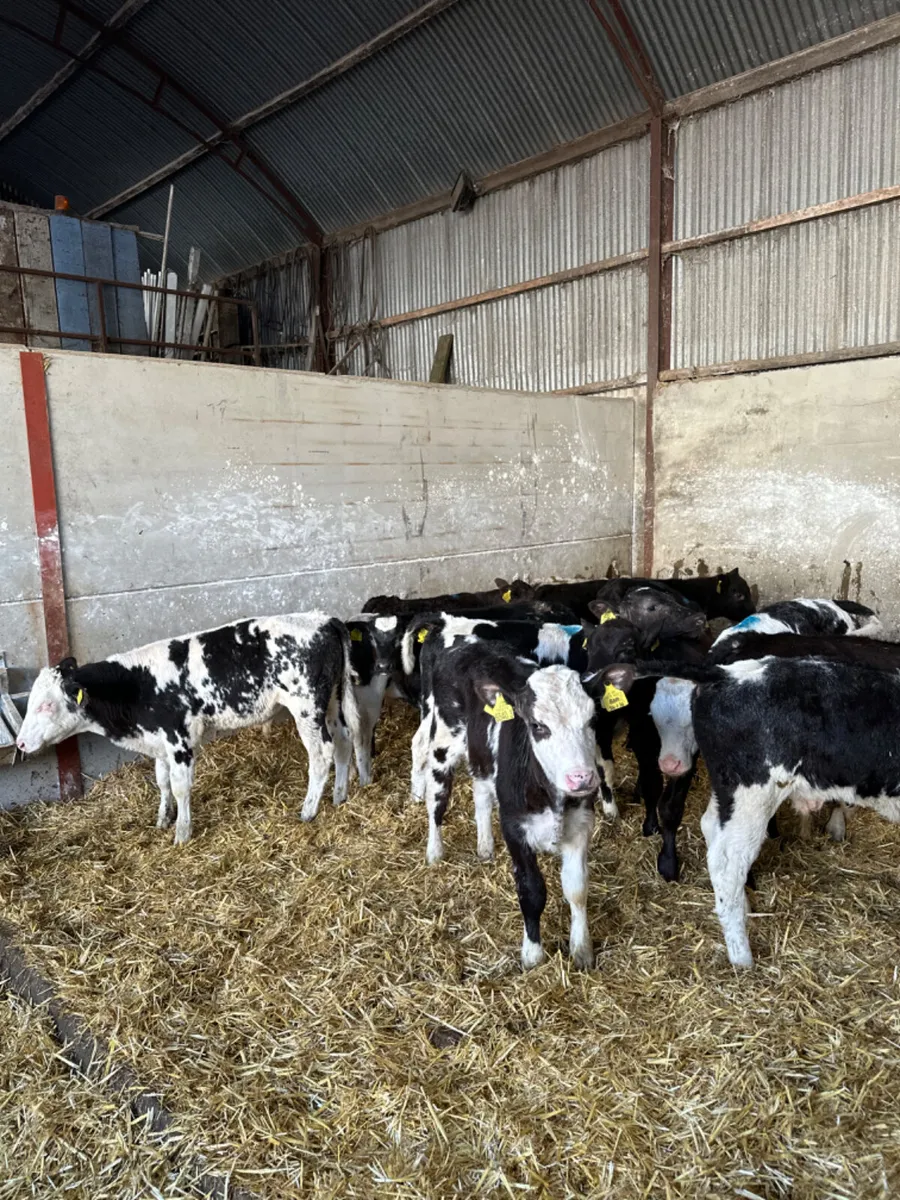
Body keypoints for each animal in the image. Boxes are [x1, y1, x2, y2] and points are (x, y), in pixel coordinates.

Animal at [15, 614, 362, 843]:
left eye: (46, 705)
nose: (19, 744)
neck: (137, 685)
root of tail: (321, 619)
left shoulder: (179, 741)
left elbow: (180, 786)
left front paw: (182, 832)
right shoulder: (159, 744)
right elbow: (162, 781)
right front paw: (162, 819)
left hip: (306, 708)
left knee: (322, 753)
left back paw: (308, 810)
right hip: (333, 700)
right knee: (344, 740)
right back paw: (339, 796)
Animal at [413, 637, 599, 970]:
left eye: (592, 720)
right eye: (538, 726)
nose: (581, 777)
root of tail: (463, 641)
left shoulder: (581, 824)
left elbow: (577, 888)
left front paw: (581, 950)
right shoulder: (514, 828)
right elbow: (531, 890)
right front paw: (532, 954)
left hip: (481, 757)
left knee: (481, 796)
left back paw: (485, 845)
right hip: (443, 743)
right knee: (437, 800)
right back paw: (434, 850)